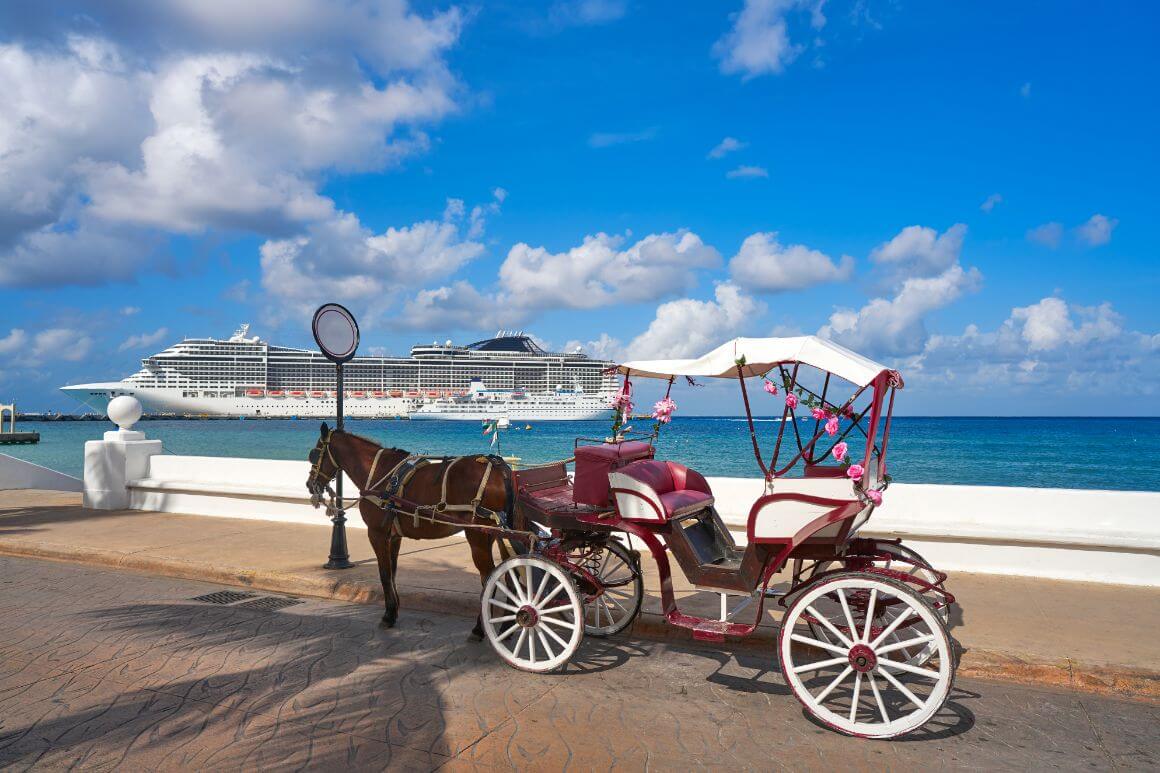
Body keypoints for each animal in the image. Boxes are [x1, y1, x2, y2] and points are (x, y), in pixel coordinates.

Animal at [308, 424, 526, 636]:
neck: (377, 472)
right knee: (511, 575)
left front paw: (387, 616)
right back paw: (507, 625)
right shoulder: (393, 536)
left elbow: (384, 574)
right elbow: (392, 573)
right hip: (499, 534)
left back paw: (481, 628)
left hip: (478, 533)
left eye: (314, 453)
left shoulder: (377, 533)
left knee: (489, 577)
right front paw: (393, 611)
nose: (310, 484)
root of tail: (501, 469)